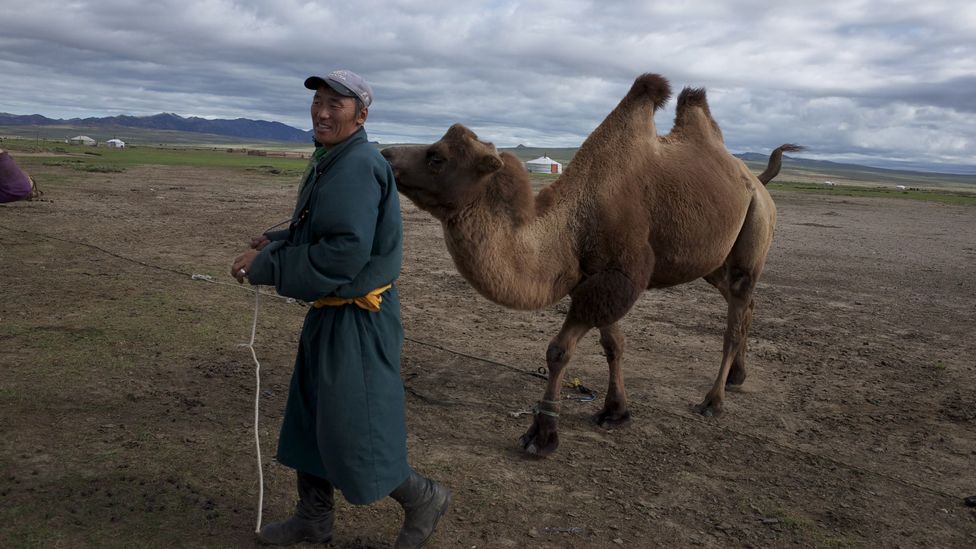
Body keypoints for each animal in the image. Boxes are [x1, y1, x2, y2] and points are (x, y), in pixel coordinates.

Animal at [382, 75, 800, 456]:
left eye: (436, 157)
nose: (386, 155)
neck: (572, 226)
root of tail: (756, 181)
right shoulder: (598, 277)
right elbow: (613, 343)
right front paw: (615, 411)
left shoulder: (617, 276)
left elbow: (559, 350)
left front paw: (543, 434)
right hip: (713, 261)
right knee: (744, 304)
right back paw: (737, 376)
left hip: (755, 227)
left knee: (735, 314)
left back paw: (713, 400)